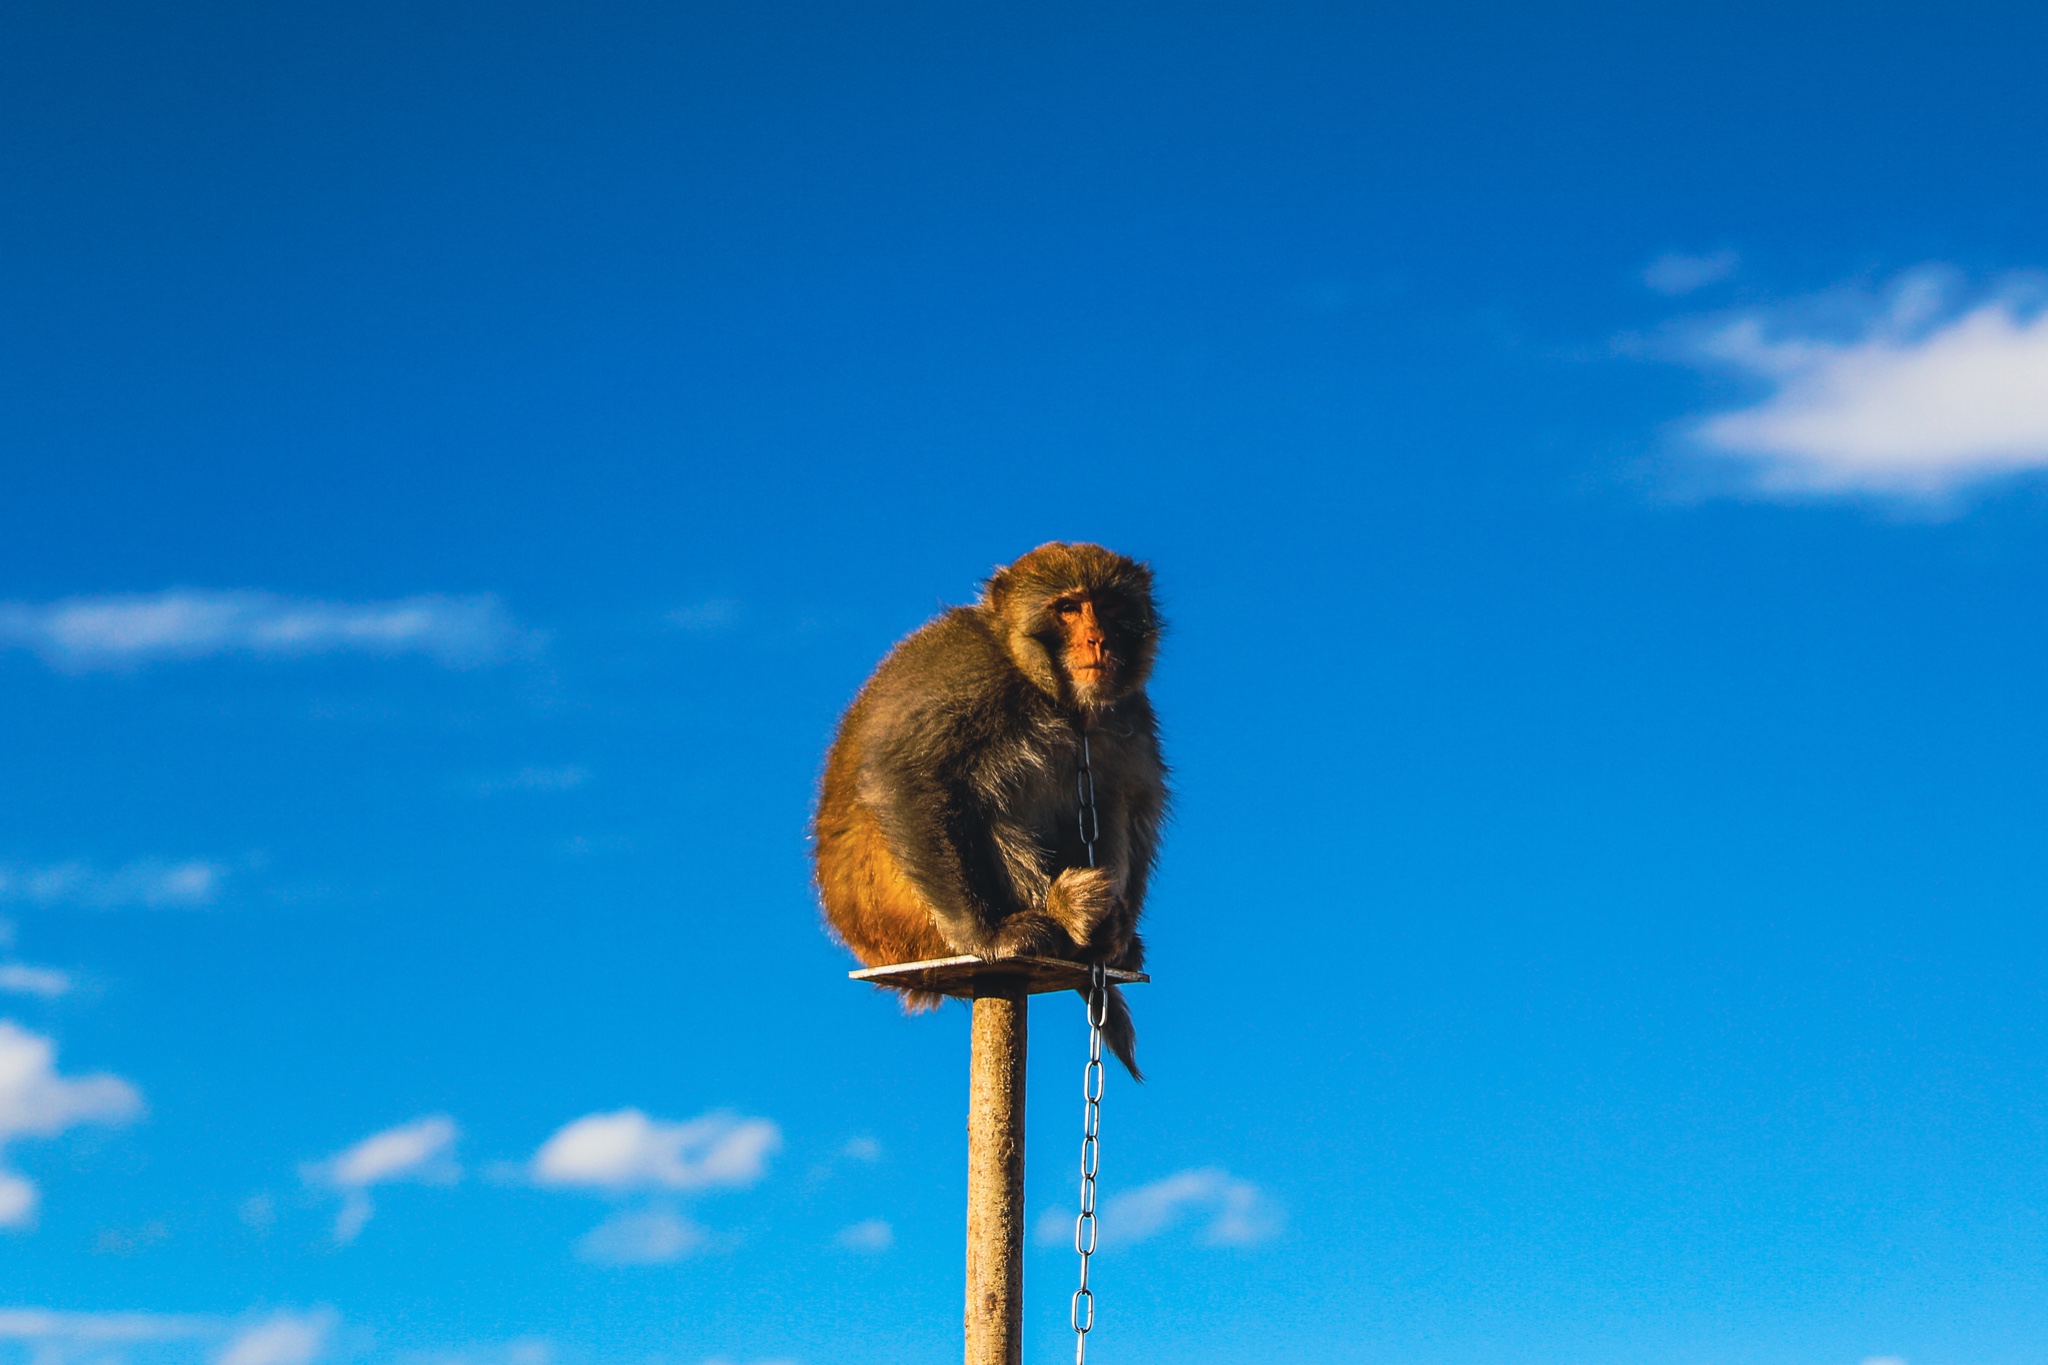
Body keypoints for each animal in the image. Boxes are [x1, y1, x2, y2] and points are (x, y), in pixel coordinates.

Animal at [811, 540, 1171, 1080]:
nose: (1098, 641)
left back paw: (1103, 936)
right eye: (1068, 608)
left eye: (1108, 606)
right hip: (904, 921)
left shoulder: (1131, 711)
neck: (1040, 685)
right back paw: (1067, 918)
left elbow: (1132, 803)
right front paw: (988, 935)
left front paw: (1121, 935)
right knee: (981, 790)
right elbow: (904, 773)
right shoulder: (972, 674)